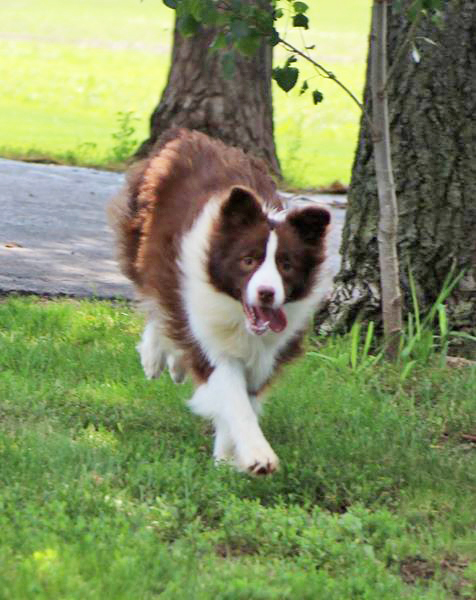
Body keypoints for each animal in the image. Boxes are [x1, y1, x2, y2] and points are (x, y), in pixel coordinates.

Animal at [108, 129, 331, 475]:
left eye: (286, 264)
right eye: (248, 260)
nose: (267, 293)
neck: (239, 315)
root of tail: (188, 136)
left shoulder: (266, 353)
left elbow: (244, 398)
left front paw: (226, 458)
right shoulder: (213, 339)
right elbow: (234, 398)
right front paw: (257, 456)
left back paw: (175, 364)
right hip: (143, 244)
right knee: (156, 299)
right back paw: (154, 357)